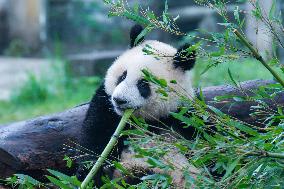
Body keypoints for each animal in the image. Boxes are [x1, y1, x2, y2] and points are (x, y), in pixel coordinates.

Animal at [77, 24, 197, 187]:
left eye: (143, 84)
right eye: (122, 76)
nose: (119, 100)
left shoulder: (182, 113)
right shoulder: (106, 107)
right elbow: (95, 136)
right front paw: (90, 174)